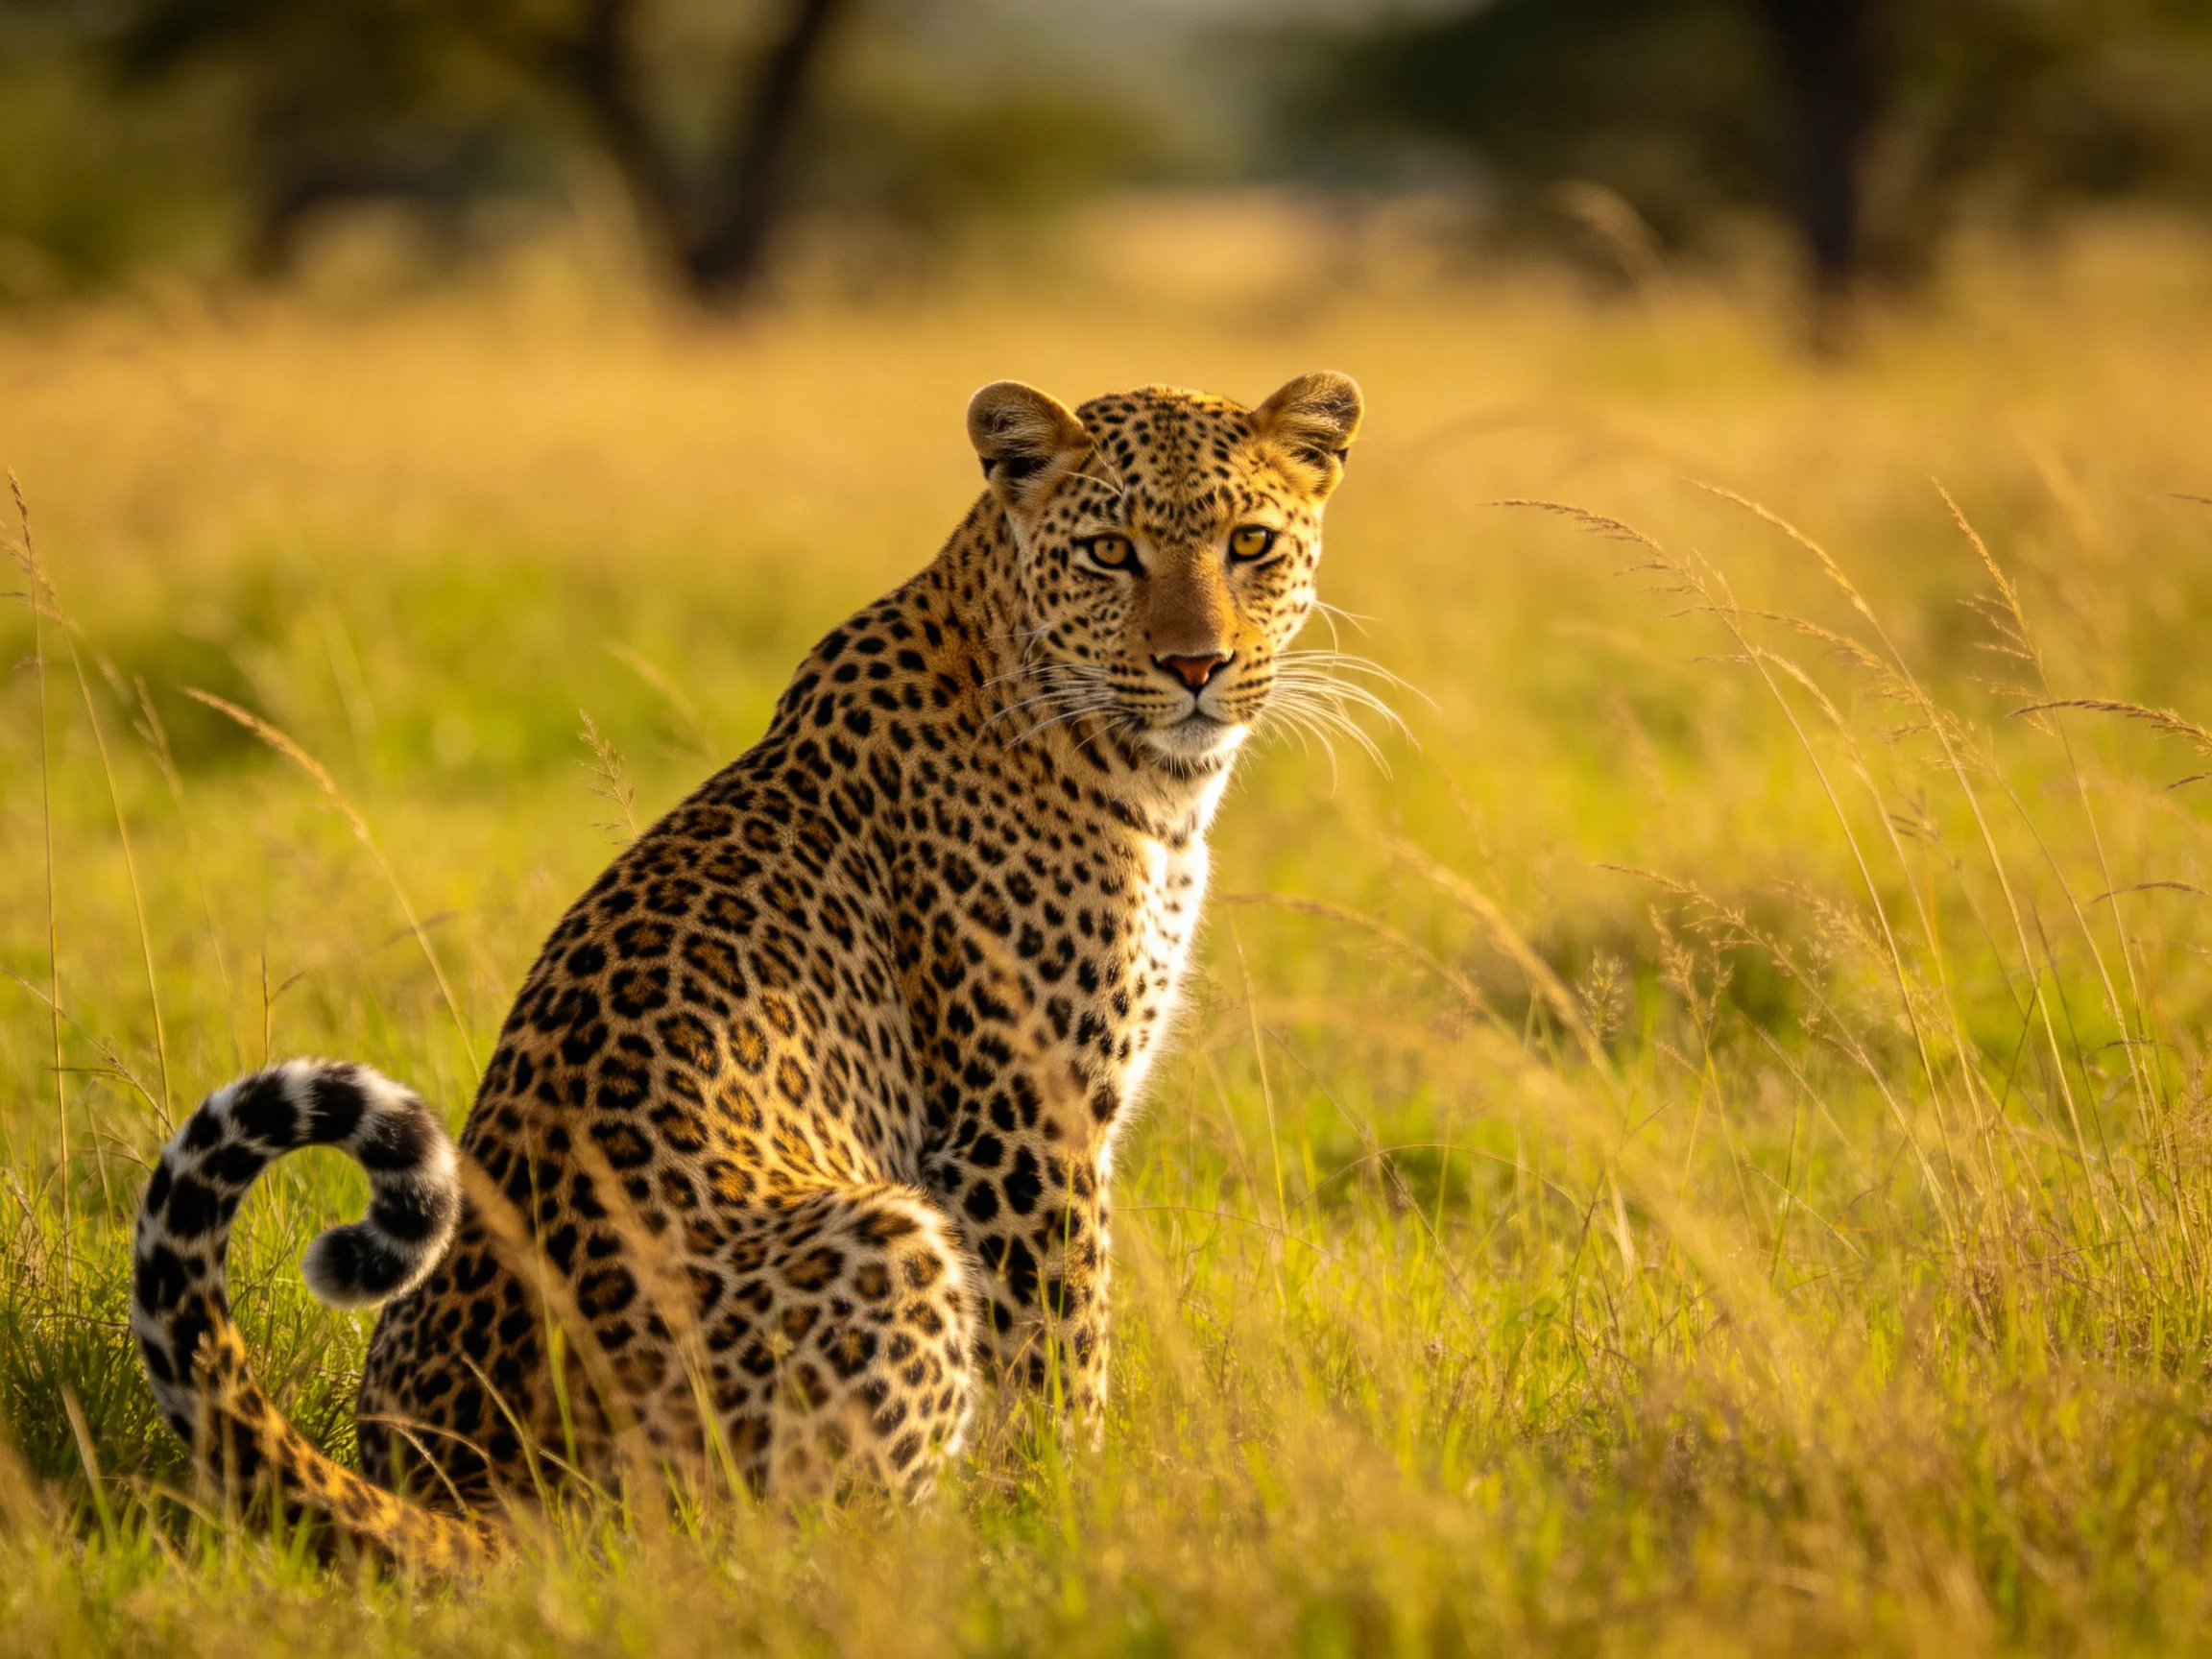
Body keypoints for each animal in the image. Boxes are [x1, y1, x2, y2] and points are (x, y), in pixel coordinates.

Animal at [130, 370, 1365, 1567]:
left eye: (1250, 543)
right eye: (1111, 550)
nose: (1195, 664)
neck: (1149, 779)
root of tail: (475, 1495)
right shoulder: (1021, 1125)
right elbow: (1061, 1350)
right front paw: (1067, 1516)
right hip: (886, 1238)